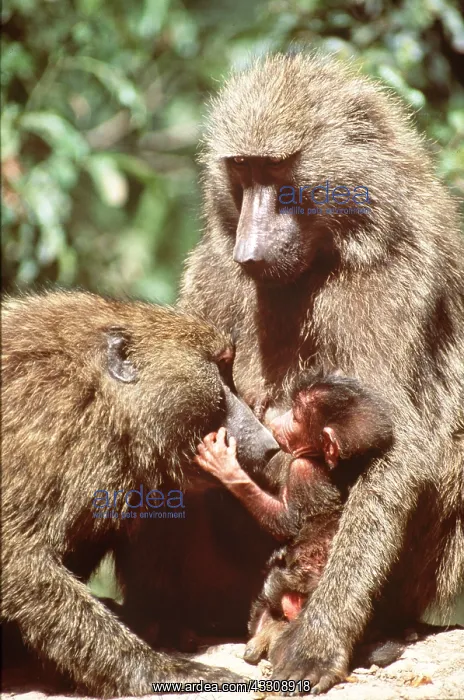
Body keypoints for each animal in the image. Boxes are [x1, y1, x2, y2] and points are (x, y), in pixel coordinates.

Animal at [1, 290, 279, 697]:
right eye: (221, 368)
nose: (269, 444)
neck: (99, 394)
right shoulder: (51, 420)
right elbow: (18, 559)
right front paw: (163, 671)